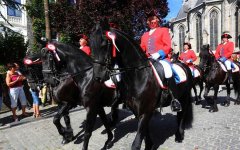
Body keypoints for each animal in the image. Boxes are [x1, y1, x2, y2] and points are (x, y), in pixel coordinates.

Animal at [89, 21, 193, 149]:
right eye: (90, 44)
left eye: (104, 44)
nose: (98, 77)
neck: (138, 76)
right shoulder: (138, 111)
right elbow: (144, 131)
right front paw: (150, 144)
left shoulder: (146, 111)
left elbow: (137, 142)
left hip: (185, 97)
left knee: (182, 115)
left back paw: (179, 135)